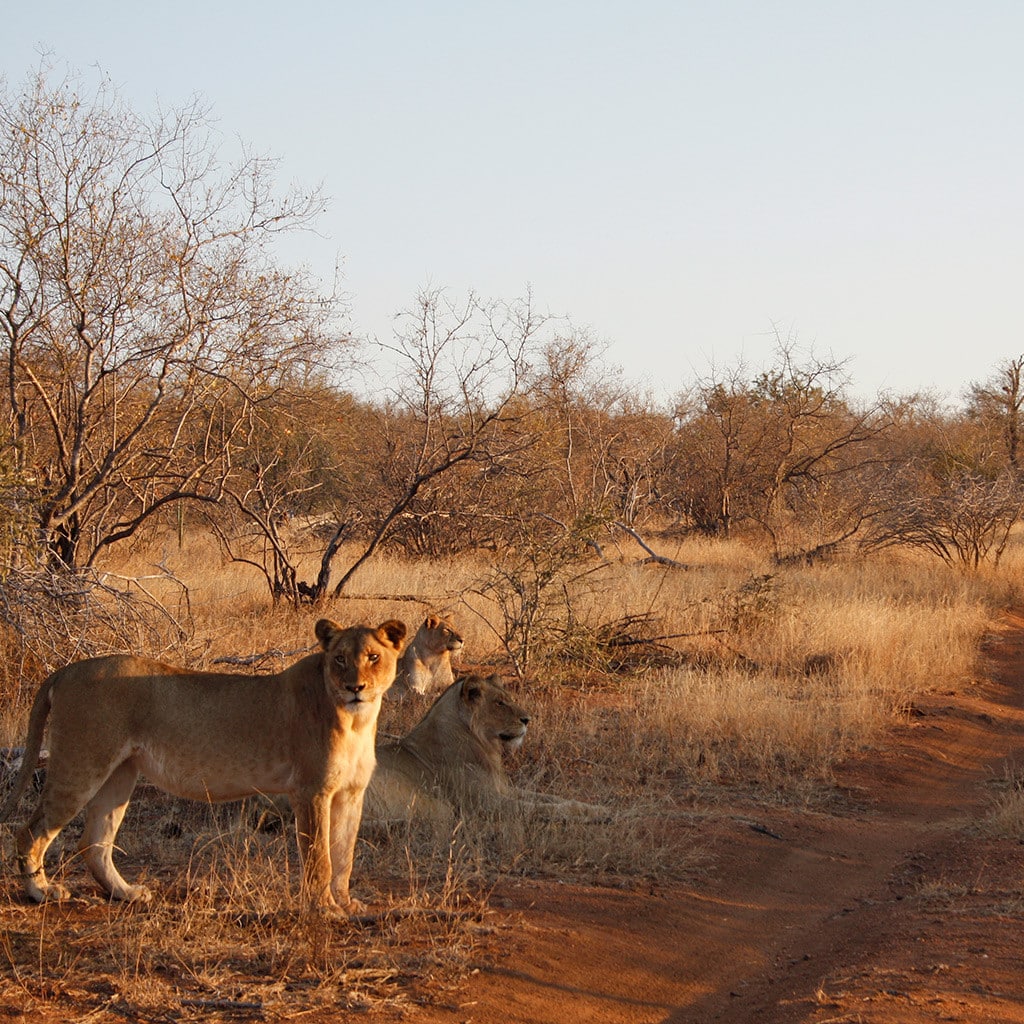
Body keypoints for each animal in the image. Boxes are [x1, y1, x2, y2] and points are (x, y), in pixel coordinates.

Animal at [0, 618, 406, 917]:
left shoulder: (350, 794)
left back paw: (127, 893)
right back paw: (42, 891)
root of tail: (65, 671)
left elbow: (344, 855)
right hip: (82, 764)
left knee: (94, 843)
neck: (356, 720)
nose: (355, 687)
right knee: (31, 831)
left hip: (120, 773)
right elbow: (320, 856)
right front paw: (324, 908)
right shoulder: (311, 791)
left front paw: (346, 903)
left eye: (373, 657)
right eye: (339, 659)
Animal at [365, 673, 606, 826]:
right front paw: (583, 814)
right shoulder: (487, 804)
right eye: (499, 703)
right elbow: (541, 808)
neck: (484, 746)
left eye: (509, 699)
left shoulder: (503, 789)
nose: (527, 720)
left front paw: (599, 810)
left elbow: (551, 798)